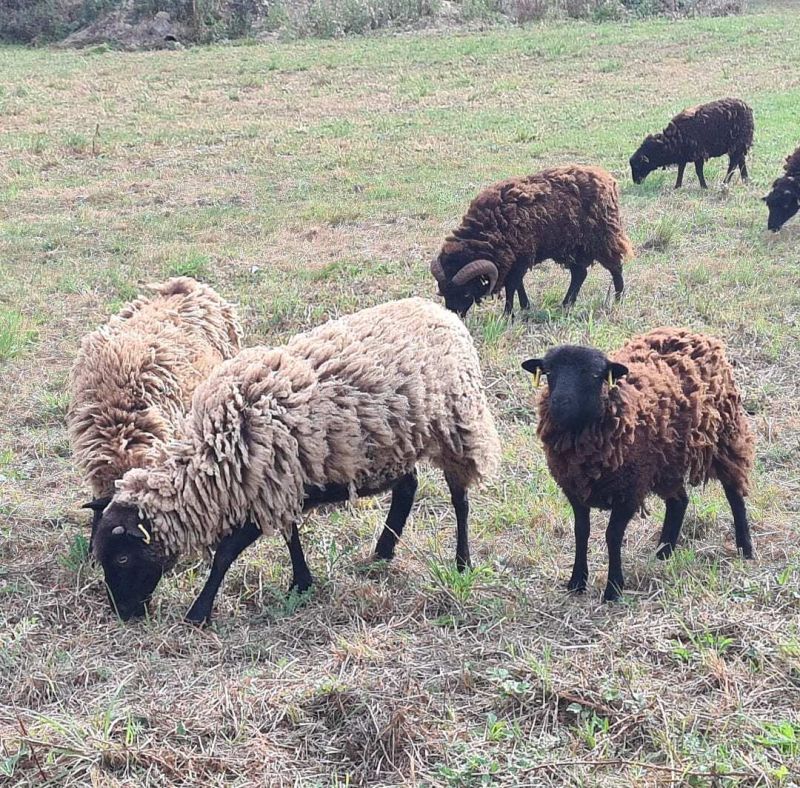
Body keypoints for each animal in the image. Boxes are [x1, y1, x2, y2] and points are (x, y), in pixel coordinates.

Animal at [90, 297, 501, 623]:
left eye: (123, 559)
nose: (124, 615)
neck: (214, 454)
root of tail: (441, 311)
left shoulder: (264, 489)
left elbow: (226, 554)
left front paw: (198, 612)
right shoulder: (277, 486)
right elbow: (290, 537)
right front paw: (301, 583)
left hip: (458, 426)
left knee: (460, 500)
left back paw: (462, 562)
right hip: (396, 441)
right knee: (408, 487)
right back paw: (383, 552)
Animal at [430, 165, 633, 317]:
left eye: (465, 292)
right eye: (442, 290)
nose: (454, 316)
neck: (490, 227)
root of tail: (608, 179)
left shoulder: (521, 257)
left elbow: (512, 286)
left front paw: (508, 314)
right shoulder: (515, 258)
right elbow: (518, 284)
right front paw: (525, 307)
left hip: (603, 237)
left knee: (616, 267)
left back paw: (617, 299)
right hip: (573, 247)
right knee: (580, 274)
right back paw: (566, 305)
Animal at [521, 328, 755, 602]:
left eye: (593, 374)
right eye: (549, 372)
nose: (559, 403)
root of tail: (692, 333)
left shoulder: (629, 490)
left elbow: (612, 536)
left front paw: (613, 588)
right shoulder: (575, 489)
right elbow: (581, 531)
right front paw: (577, 581)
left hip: (725, 436)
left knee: (734, 493)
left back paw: (745, 549)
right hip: (666, 461)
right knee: (679, 501)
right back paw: (663, 552)